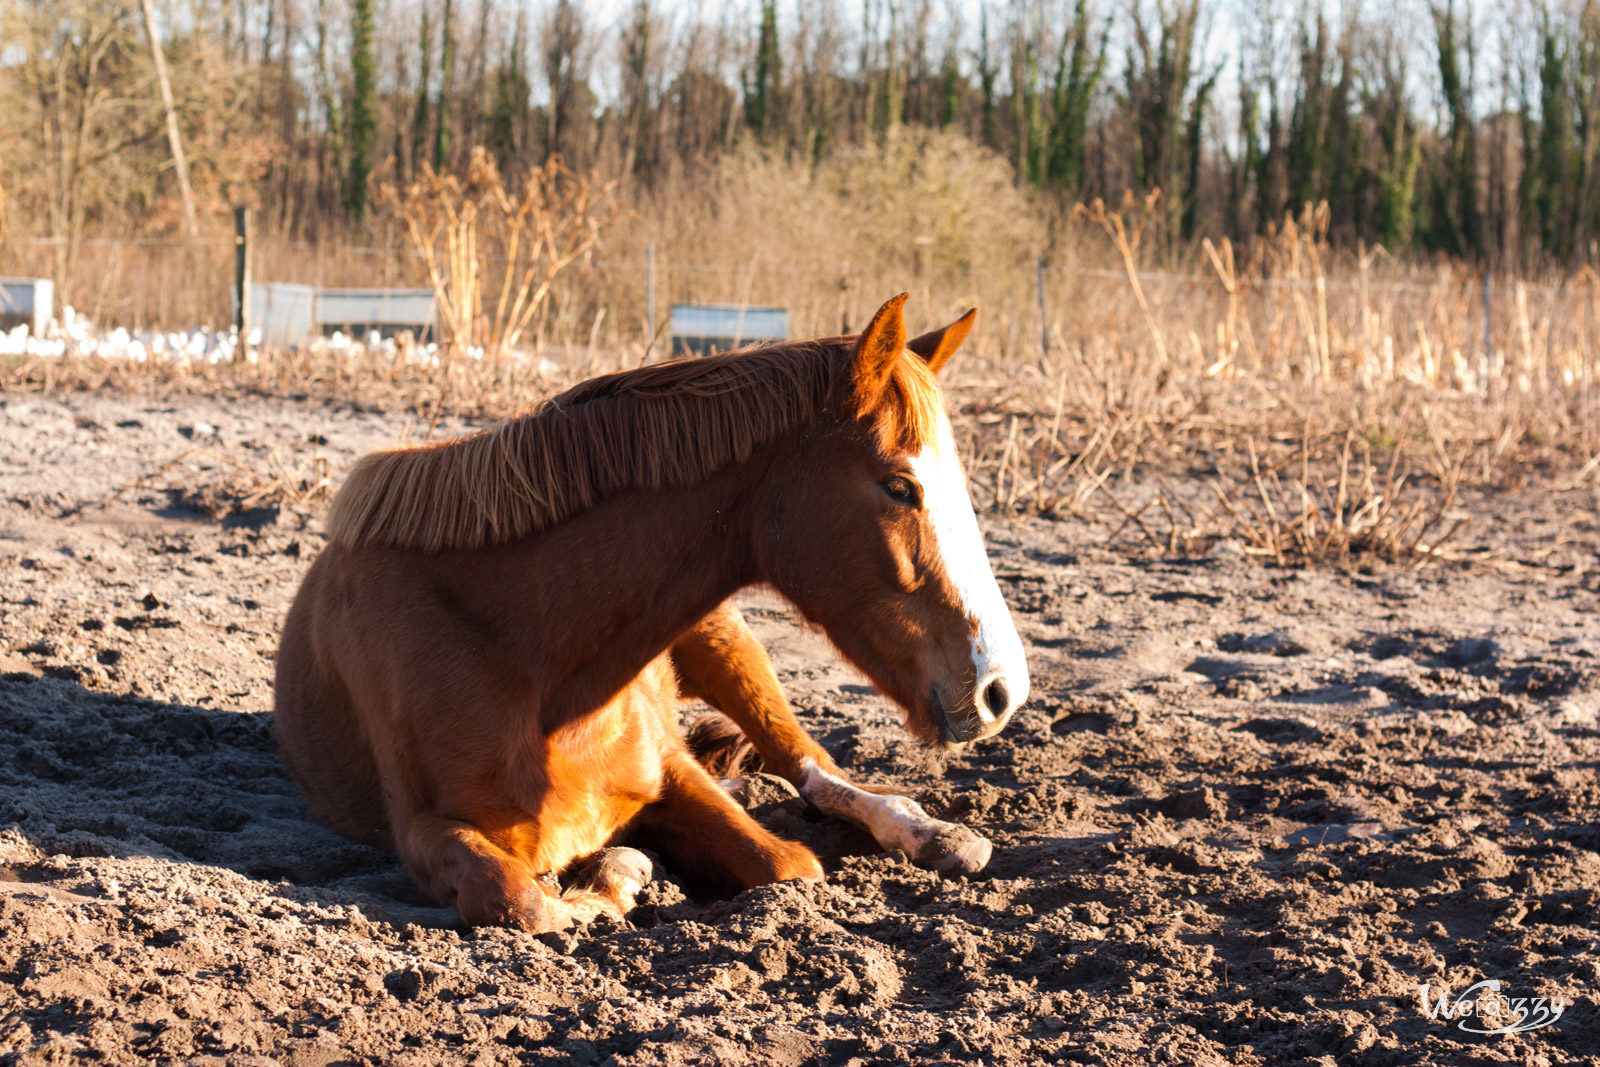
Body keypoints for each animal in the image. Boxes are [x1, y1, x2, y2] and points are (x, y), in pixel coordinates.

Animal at [272, 295, 1024, 927]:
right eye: (900, 486)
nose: (1002, 689)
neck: (530, 660)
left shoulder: (672, 771)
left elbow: (790, 864)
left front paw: (621, 868)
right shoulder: (426, 831)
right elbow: (525, 901)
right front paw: (614, 875)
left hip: (730, 649)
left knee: (813, 766)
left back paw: (935, 832)